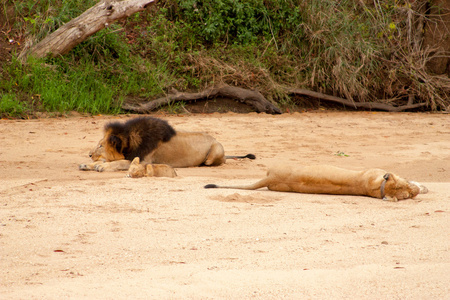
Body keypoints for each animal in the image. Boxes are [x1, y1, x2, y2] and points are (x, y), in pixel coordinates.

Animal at [79, 116, 255, 172]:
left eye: (100, 145)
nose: (89, 154)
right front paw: (87, 164)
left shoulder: (143, 161)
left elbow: (118, 163)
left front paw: (100, 166)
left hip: (215, 150)